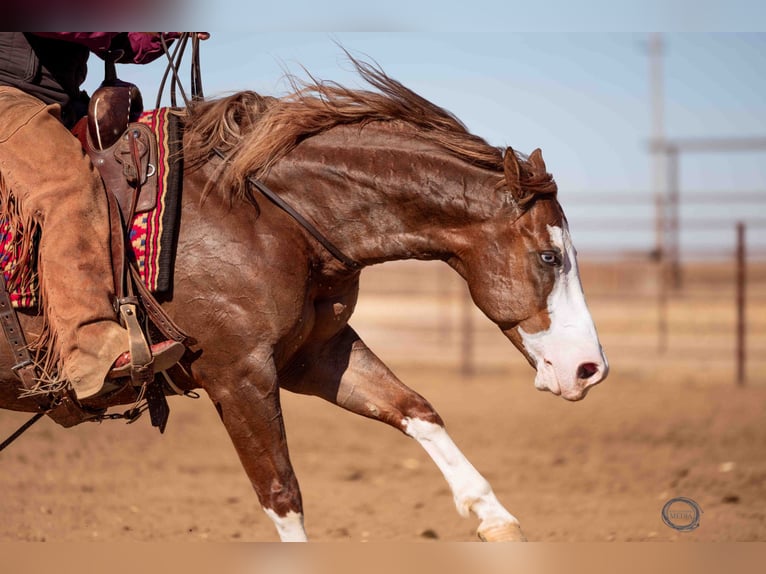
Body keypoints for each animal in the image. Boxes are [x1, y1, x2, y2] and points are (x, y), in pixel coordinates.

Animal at [0, 59, 608, 541]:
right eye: (550, 256)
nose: (590, 369)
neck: (262, 215)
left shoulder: (316, 356)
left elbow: (415, 409)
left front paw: (495, 519)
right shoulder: (239, 377)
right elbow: (282, 494)